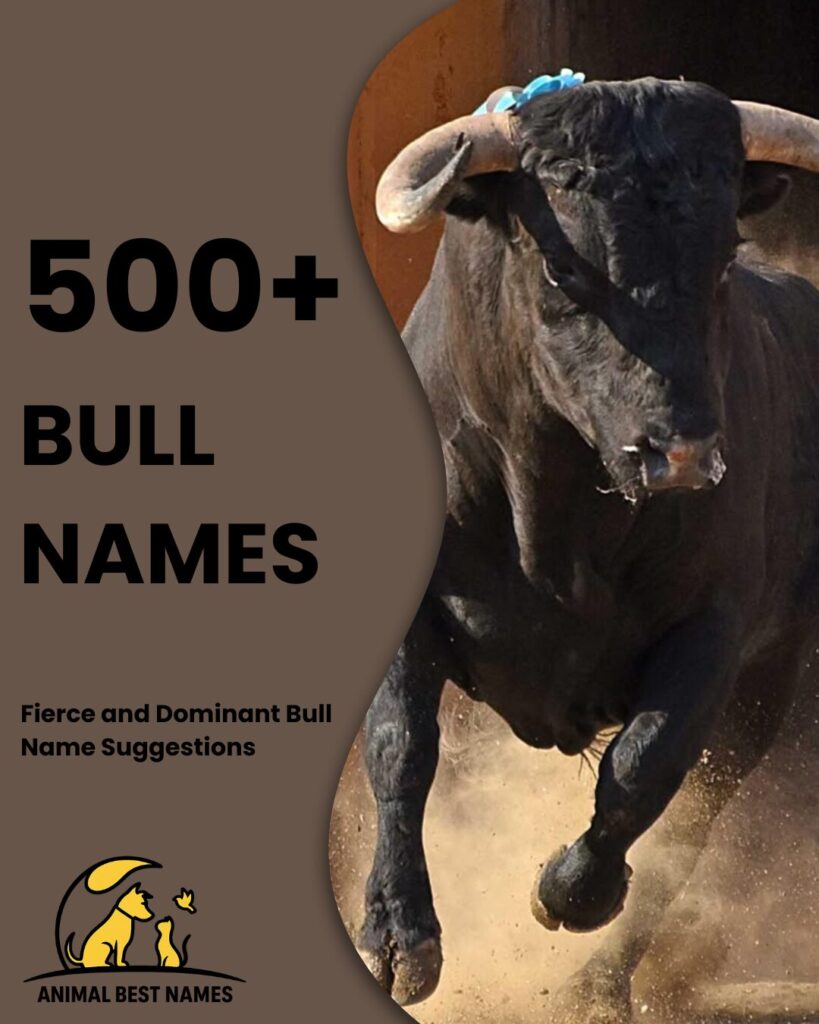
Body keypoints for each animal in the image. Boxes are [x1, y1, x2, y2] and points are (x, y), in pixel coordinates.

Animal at [355, 77, 819, 1023]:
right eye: (564, 270)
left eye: (723, 259)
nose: (680, 454)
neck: (554, 516)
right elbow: (400, 742)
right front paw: (397, 940)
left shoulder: (715, 631)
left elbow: (647, 765)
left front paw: (568, 893)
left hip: (769, 673)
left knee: (696, 816)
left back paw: (595, 983)